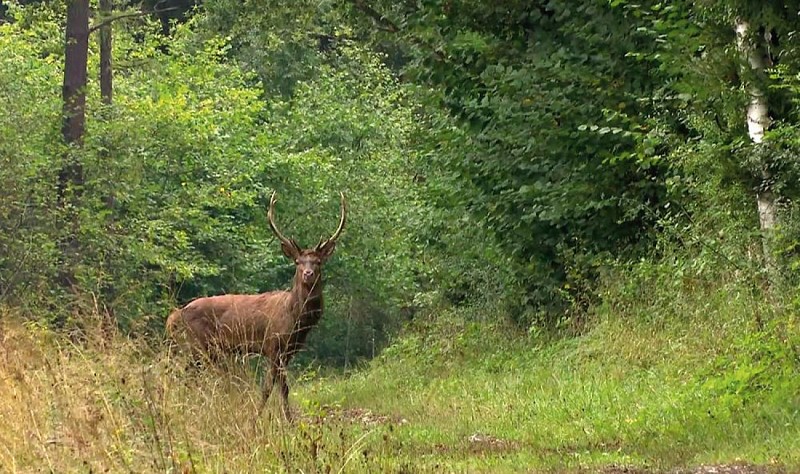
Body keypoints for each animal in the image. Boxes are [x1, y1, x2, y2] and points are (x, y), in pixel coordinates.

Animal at [166, 191, 347, 420]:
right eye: (298, 262)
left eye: (318, 262)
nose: (308, 273)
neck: (296, 318)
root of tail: (174, 317)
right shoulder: (273, 345)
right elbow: (272, 387)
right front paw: (263, 416)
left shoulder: (288, 352)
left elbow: (281, 387)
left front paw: (285, 418)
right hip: (195, 345)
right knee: (184, 377)